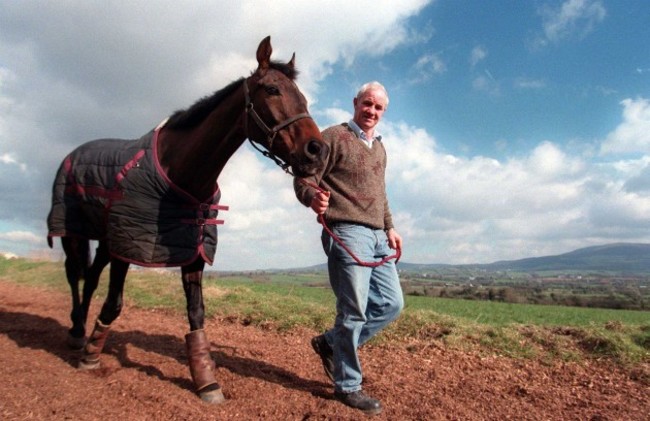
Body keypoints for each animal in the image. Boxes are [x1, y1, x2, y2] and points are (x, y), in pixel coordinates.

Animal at [46, 37, 330, 404]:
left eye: (304, 98)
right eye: (272, 89)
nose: (317, 151)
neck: (180, 172)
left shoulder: (192, 250)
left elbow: (196, 313)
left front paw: (206, 380)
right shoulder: (129, 243)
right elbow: (114, 304)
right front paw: (91, 357)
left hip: (106, 241)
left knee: (91, 277)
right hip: (75, 233)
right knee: (74, 275)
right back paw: (78, 332)